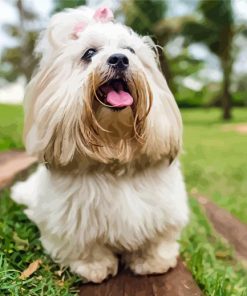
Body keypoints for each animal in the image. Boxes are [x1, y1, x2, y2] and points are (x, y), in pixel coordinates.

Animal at [11, 6, 189, 284]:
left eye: (130, 51)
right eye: (89, 53)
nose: (119, 59)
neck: (115, 154)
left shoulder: (162, 210)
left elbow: (156, 239)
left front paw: (153, 262)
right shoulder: (73, 222)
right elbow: (85, 247)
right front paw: (94, 267)